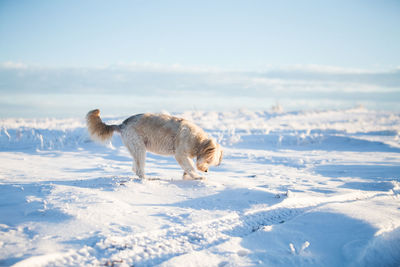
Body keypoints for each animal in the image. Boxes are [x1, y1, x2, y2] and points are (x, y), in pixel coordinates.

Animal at [86, 110, 222, 181]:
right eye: (209, 161)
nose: (206, 170)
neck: (197, 141)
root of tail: (122, 125)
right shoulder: (180, 154)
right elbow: (190, 167)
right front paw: (197, 177)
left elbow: (187, 167)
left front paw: (187, 177)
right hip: (139, 148)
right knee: (139, 170)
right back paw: (147, 179)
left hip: (135, 149)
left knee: (135, 168)